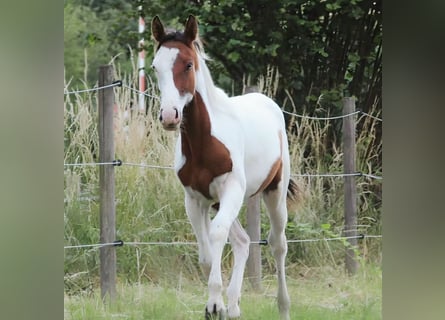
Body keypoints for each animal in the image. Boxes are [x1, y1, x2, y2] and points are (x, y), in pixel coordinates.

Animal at [151, 15, 296, 320]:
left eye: (188, 64)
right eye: (155, 66)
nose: (169, 116)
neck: (203, 141)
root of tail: (268, 102)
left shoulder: (231, 189)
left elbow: (216, 234)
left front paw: (214, 304)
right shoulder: (196, 199)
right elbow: (207, 254)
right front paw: (216, 305)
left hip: (275, 193)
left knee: (278, 244)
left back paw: (282, 307)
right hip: (220, 202)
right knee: (242, 241)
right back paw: (234, 307)